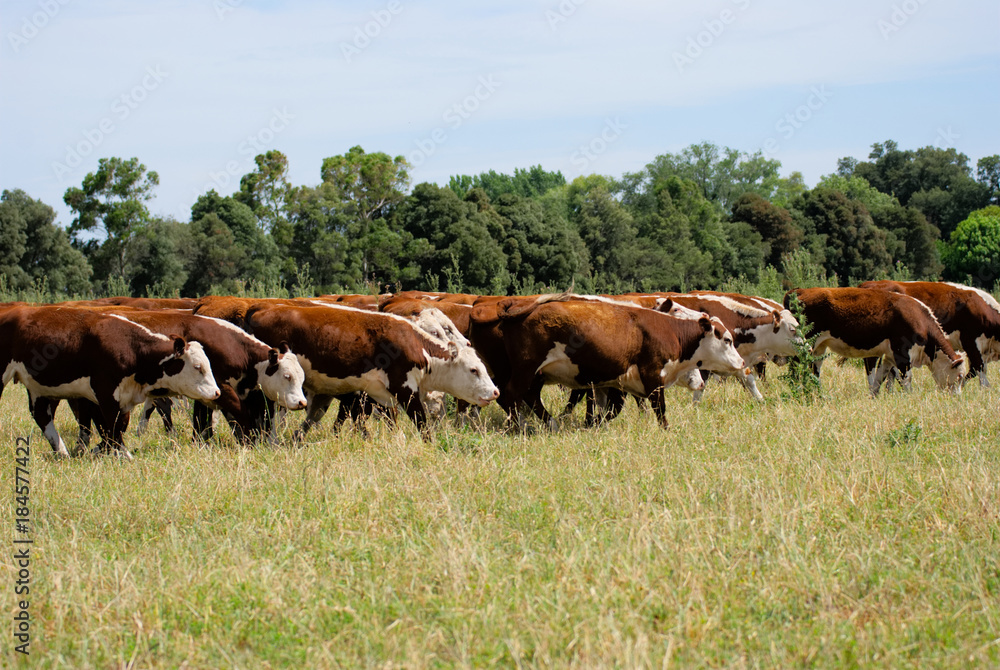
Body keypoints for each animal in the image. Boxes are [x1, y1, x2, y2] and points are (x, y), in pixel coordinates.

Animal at [0, 308, 220, 460]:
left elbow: (114, 429)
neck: (132, 348)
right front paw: (124, 456)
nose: (216, 392)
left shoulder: (121, 398)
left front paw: (97, 450)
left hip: (41, 389)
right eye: (198, 367)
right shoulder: (106, 394)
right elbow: (112, 428)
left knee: (42, 417)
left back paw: (62, 452)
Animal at [490, 296, 744, 430]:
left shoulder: (617, 382)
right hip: (526, 368)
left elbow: (612, 409)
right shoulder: (653, 375)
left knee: (530, 397)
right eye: (728, 340)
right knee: (511, 395)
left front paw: (593, 425)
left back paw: (551, 424)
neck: (670, 330)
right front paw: (666, 429)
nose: (742, 362)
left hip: (534, 374)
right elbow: (659, 408)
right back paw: (520, 426)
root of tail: (520, 309)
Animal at [780, 288, 968, 394]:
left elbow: (879, 380)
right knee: (796, 367)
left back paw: (818, 392)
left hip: (819, 346)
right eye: (959, 376)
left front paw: (874, 397)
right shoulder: (902, 355)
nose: (957, 398)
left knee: (815, 368)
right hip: (804, 344)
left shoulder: (889, 357)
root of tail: (799, 291)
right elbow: (906, 381)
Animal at [856, 280, 1000, 388]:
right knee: (871, 364)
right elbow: (978, 369)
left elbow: (975, 370)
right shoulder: (970, 342)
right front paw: (984, 390)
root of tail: (867, 284)